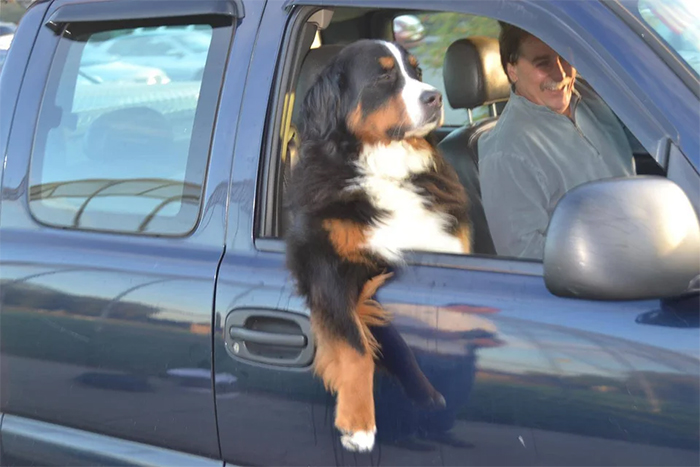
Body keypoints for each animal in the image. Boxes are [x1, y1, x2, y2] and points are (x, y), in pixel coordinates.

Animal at [284, 39, 470, 454]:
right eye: (384, 76)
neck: (385, 165)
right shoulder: (327, 266)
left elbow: (388, 340)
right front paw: (358, 424)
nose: (434, 96)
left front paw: (425, 394)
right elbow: (357, 347)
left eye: (416, 71)